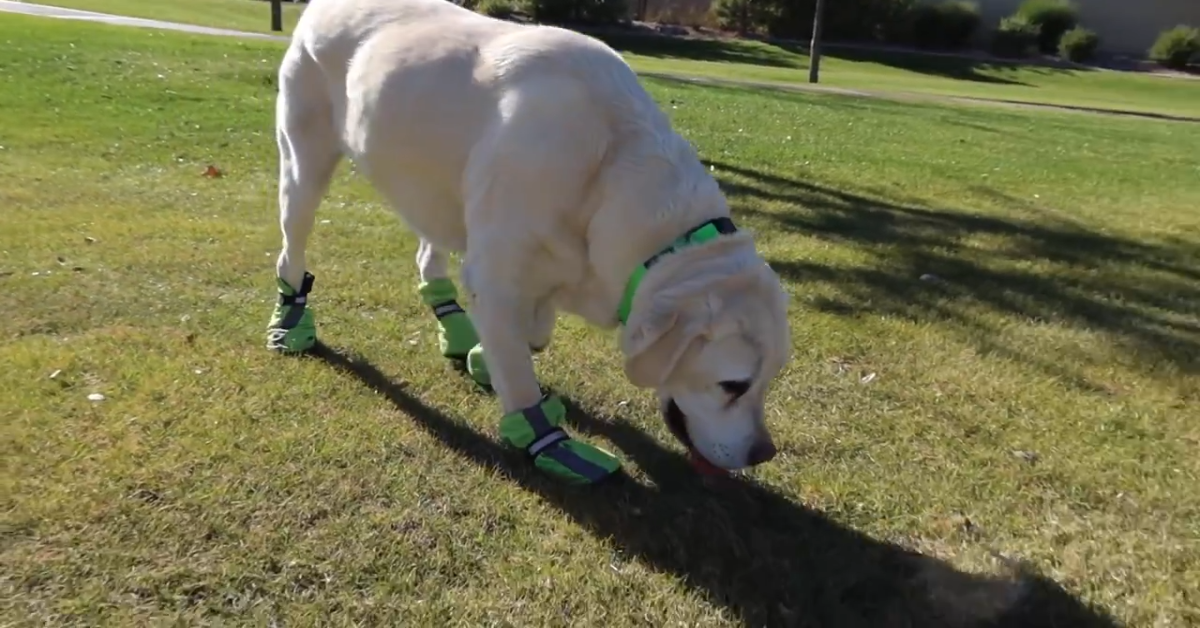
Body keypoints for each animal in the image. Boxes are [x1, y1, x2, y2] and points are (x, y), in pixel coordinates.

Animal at [270, 0, 796, 482]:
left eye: (771, 379)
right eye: (733, 385)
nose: (763, 453)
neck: (607, 172)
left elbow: (531, 334)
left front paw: (488, 355)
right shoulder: (496, 277)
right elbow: (521, 377)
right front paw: (549, 441)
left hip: (437, 192)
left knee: (428, 253)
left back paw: (455, 326)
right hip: (305, 167)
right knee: (291, 250)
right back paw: (291, 318)